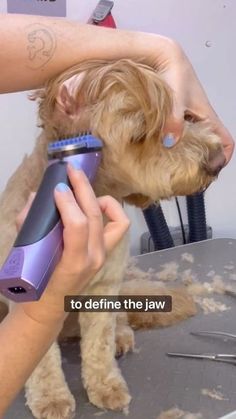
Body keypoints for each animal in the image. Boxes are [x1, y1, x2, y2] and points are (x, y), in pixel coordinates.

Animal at [0, 58, 224, 416]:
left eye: (180, 117)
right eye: (141, 133)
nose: (217, 160)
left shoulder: (104, 287)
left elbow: (99, 343)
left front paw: (105, 385)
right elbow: (41, 359)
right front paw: (51, 397)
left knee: (117, 320)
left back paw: (121, 335)